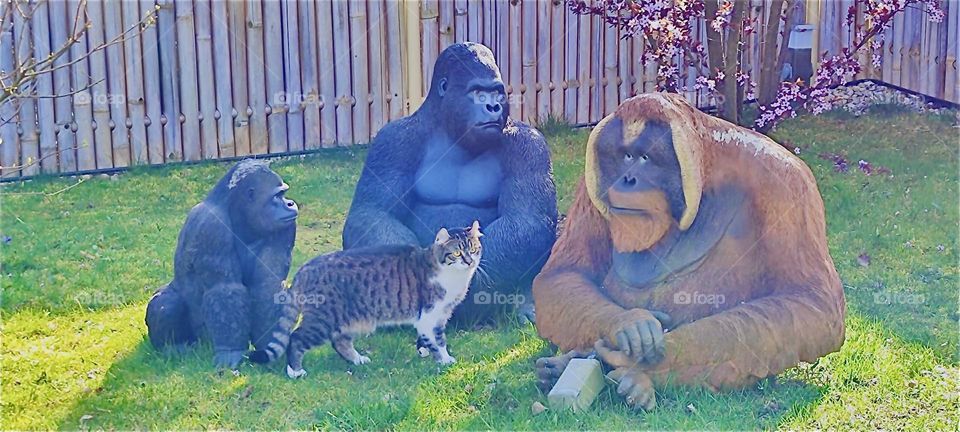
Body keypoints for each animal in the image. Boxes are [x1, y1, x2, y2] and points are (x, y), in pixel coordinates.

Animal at [145, 159, 298, 370]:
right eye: (277, 196)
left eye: (283, 193)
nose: (290, 203)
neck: (239, 215)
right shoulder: (211, 228)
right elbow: (224, 289)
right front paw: (230, 352)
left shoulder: (286, 227)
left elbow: (268, 286)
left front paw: (271, 348)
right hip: (200, 339)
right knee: (166, 304)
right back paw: (173, 348)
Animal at [342, 42, 558, 323]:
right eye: (477, 92)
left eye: (497, 93)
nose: (494, 107)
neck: (448, 127)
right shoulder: (391, 142)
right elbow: (372, 213)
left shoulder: (529, 144)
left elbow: (527, 220)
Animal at [532, 93, 846, 410]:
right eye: (625, 156)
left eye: (645, 158)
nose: (627, 179)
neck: (707, 171)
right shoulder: (590, 186)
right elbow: (562, 275)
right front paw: (629, 324)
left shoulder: (788, 184)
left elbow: (810, 302)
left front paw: (644, 361)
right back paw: (563, 364)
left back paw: (635, 382)